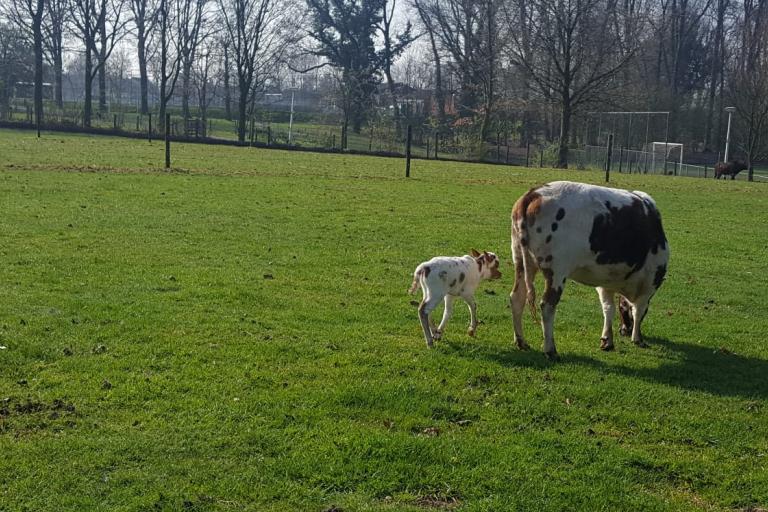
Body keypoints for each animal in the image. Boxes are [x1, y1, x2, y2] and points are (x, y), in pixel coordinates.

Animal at [510, 180, 672, 360]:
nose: (624, 330)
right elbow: (639, 309)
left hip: (520, 262)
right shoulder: (651, 280)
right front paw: (637, 338)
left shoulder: (605, 281)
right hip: (556, 272)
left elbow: (608, 308)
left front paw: (607, 339)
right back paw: (550, 349)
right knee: (547, 306)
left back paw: (521, 341)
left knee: (517, 298)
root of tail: (533, 194)